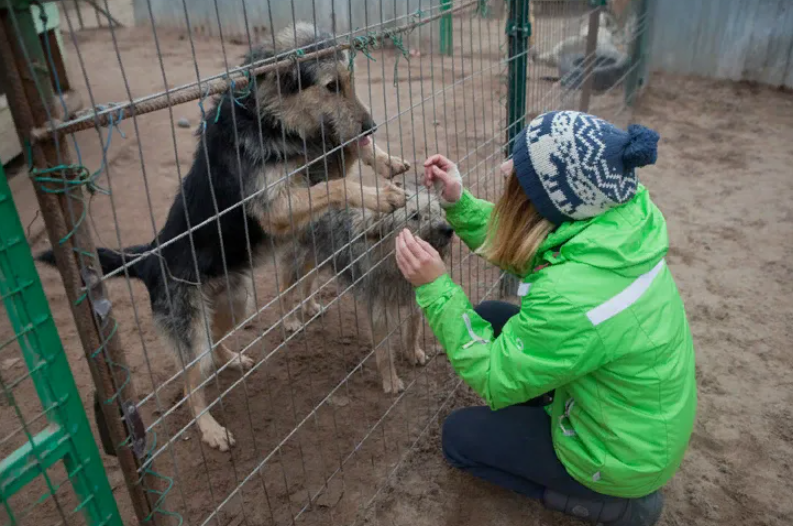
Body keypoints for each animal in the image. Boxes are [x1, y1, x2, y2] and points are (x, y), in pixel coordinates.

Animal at [278, 186, 452, 396]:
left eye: (437, 211)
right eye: (415, 216)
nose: (448, 230)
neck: (392, 263)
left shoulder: (414, 301)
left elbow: (412, 331)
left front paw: (414, 353)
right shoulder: (379, 314)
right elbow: (385, 353)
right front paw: (391, 380)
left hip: (317, 258)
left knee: (307, 282)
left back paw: (310, 307)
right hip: (299, 260)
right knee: (285, 291)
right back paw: (290, 320)